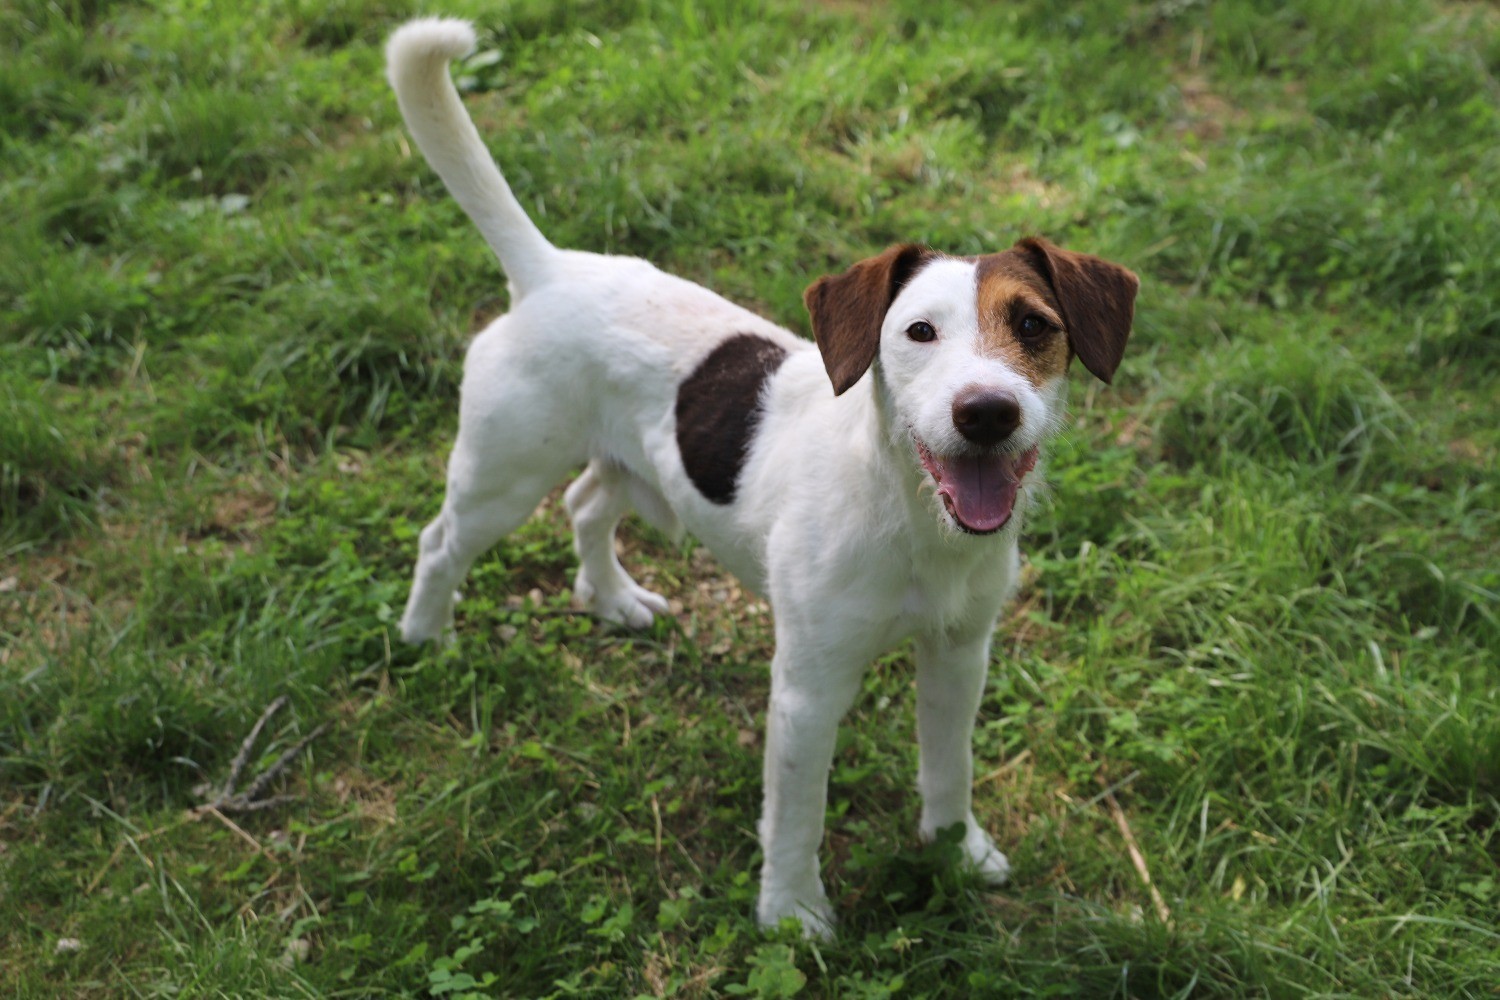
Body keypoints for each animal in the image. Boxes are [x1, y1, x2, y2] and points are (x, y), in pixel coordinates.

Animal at [384, 17, 1134, 941]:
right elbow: (797, 815)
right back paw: (427, 637)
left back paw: (610, 598)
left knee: (587, 504)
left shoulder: (960, 657)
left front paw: (957, 852)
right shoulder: (808, 693)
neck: (907, 518)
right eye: (918, 332)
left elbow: (948, 769)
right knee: (441, 541)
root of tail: (551, 269)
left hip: (631, 467)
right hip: (503, 474)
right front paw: (793, 914)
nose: (987, 412)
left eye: (1034, 325)